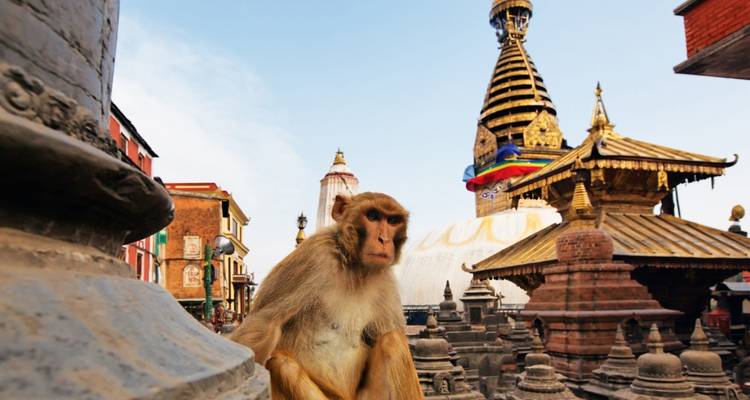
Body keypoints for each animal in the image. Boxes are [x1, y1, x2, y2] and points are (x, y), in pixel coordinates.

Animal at [231, 192, 424, 400]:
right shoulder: (314, 255)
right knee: (281, 364)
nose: (384, 239)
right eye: (372, 216)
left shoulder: (385, 281)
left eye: (393, 221)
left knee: (392, 341)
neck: (355, 268)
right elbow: (263, 325)